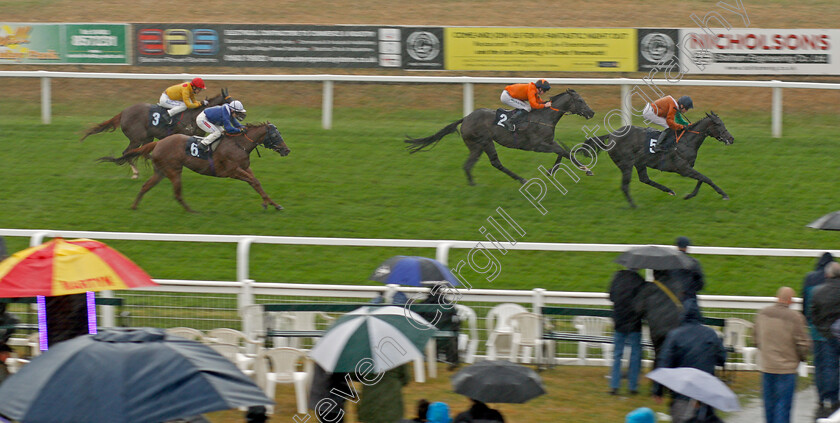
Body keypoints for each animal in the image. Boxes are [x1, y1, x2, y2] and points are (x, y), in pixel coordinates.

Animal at [81, 88, 233, 180]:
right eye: (229, 101)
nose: (238, 114)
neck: (194, 115)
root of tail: (123, 112)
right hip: (136, 138)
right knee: (127, 152)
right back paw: (136, 173)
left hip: (148, 137)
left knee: (140, 152)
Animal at [96, 124, 288, 214]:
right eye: (275, 135)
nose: (287, 150)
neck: (239, 144)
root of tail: (159, 142)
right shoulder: (232, 171)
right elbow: (254, 182)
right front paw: (268, 203)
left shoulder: (245, 169)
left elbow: (257, 183)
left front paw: (273, 204)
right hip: (174, 170)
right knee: (177, 193)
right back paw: (192, 211)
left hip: (161, 171)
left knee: (146, 186)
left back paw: (135, 206)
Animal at [404, 89, 592, 186]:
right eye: (580, 101)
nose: (592, 112)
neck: (544, 117)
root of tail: (466, 118)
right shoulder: (538, 145)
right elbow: (565, 152)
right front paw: (587, 169)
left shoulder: (548, 142)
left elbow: (562, 152)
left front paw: (551, 170)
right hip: (483, 142)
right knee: (492, 162)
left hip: (479, 145)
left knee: (477, 164)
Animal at [584, 112, 736, 209]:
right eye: (718, 124)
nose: (731, 138)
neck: (686, 142)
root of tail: (611, 135)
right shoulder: (683, 169)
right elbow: (706, 178)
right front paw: (724, 195)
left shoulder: (689, 168)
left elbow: (702, 180)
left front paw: (689, 195)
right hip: (626, 164)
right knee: (625, 186)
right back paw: (634, 205)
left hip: (639, 163)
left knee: (644, 179)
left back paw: (669, 190)